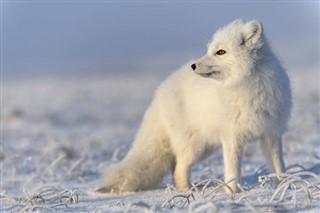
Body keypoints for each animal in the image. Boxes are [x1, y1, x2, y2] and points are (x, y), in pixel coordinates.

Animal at [98, 19, 292, 195]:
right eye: (210, 50)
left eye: (220, 52)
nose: (193, 66)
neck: (246, 85)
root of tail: (159, 93)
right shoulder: (231, 137)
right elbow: (232, 171)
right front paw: (231, 194)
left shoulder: (271, 135)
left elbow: (279, 167)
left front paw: (284, 188)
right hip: (194, 146)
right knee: (179, 168)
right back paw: (187, 191)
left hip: (205, 147)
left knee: (175, 166)